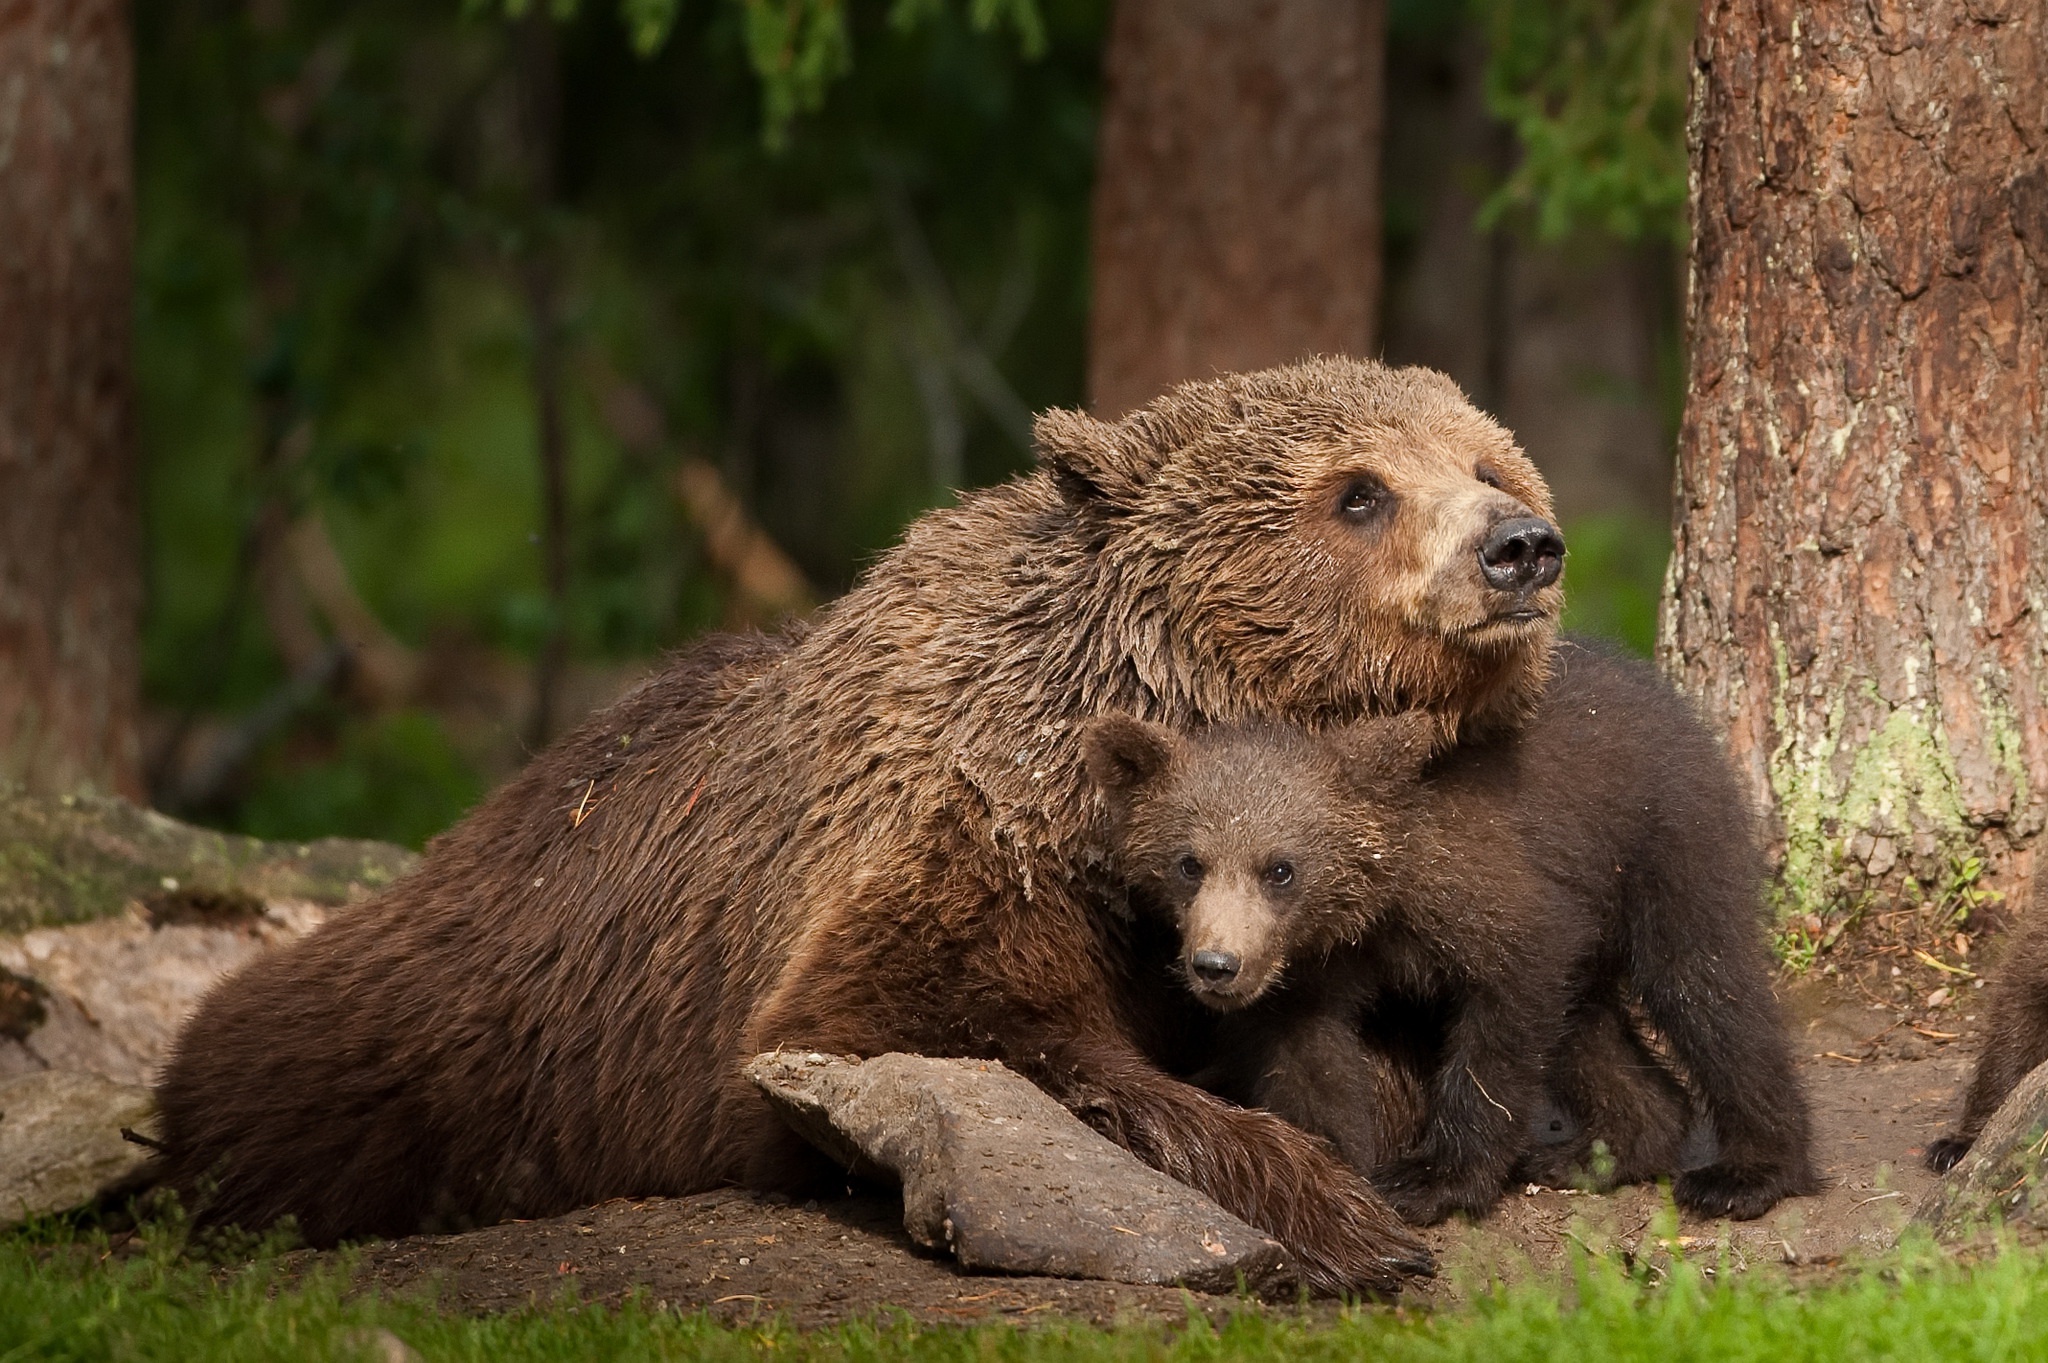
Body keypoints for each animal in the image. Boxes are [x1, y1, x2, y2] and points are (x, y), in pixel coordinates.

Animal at [159, 356, 1564, 1293]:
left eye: (1485, 460)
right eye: (1357, 492)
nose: (1521, 545)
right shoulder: (967, 847)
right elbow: (925, 1029)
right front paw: (1344, 1218)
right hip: (446, 1029)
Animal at [1081, 638, 1818, 1219]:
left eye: (1280, 868)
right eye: (1189, 862)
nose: (1217, 965)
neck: (1369, 909)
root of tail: (1660, 691)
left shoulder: (1484, 892)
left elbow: (1504, 1015)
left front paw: (1434, 1177)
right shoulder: (1309, 972)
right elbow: (1309, 1059)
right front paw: (1328, 1160)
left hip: (1665, 840)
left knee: (1705, 986)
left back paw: (1748, 1172)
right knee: (1590, 1026)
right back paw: (1601, 1151)